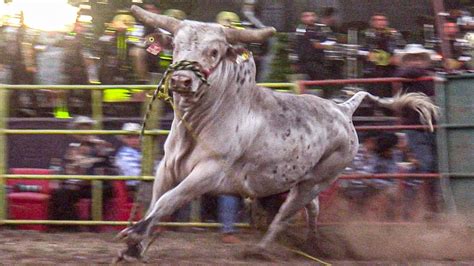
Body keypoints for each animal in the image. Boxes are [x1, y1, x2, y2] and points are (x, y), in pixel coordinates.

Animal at [116, 4, 438, 262]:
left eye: (214, 51)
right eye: (177, 45)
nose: (182, 80)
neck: (200, 124)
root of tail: (343, 110)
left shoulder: (208, 173)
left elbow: (169, 201)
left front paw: (133, 234)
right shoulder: (167, 168)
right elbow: (156, 202)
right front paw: (134, 248)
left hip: (319, 179)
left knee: (286, 214)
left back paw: (259, 249)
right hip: (302, 180)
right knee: (312, 209)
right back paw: (312, 244)